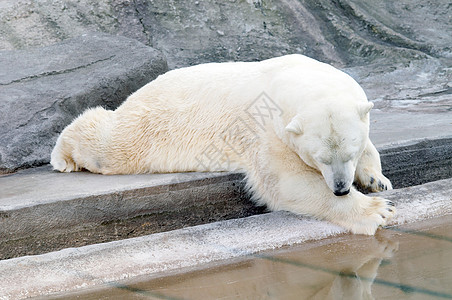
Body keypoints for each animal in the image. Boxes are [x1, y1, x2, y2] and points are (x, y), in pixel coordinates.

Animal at [51, 55, 394, 236]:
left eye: (348, 154)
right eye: (319, 159)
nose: (341, 188)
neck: (297, 77)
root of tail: (140, 91)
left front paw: (378, 180)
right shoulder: (268, 130)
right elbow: (287, 182)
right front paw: (378, 210)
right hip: (150, 127)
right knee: (110, 144)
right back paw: (62, 157)